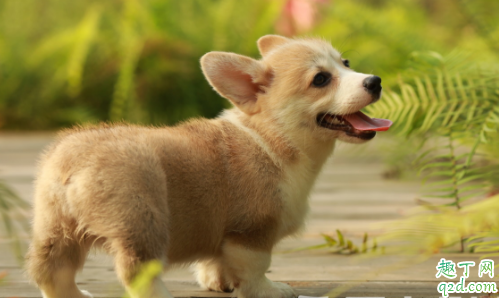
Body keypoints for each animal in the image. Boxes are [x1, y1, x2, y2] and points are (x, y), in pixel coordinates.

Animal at [26, 35, 394, 298]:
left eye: (346, 63)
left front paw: (217, 282)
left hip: (56, 229)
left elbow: (215, 261)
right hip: (142, 221)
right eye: (320, 79)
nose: (375, 81)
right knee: (136, 271)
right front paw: (270, 291)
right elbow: (256, 268)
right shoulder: (252, 231)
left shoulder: (222, 233)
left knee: (50, 272)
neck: (273, 138)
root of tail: (72, 163)